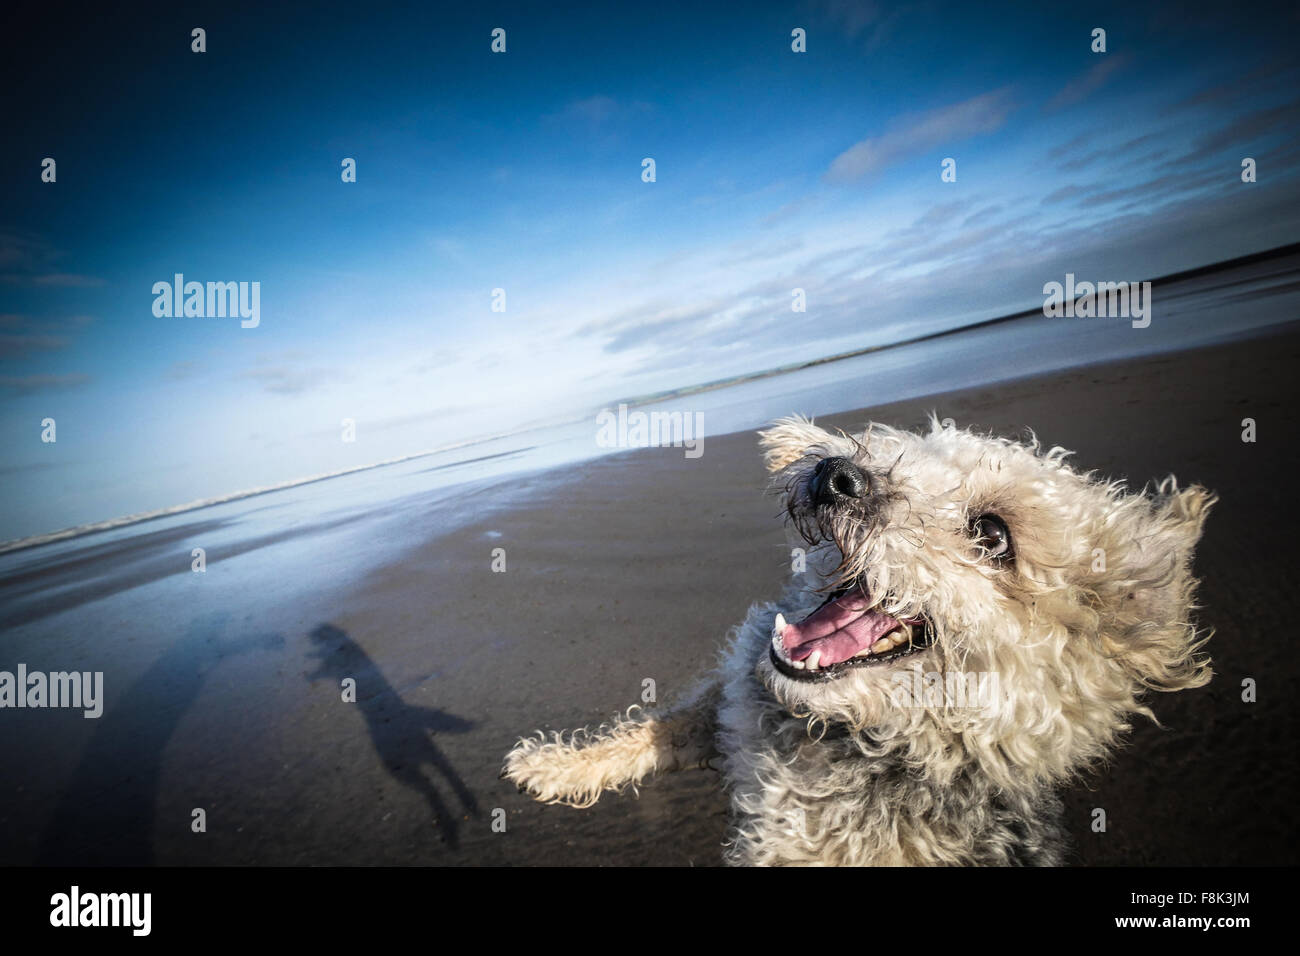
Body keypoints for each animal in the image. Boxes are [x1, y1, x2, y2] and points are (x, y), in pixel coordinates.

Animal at [501, 418, 1211, 868]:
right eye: (913, 454)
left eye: (992, 534)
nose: (836, 473)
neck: (843, 733)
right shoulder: (730, 710)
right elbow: (651, 729)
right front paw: (553, 767)